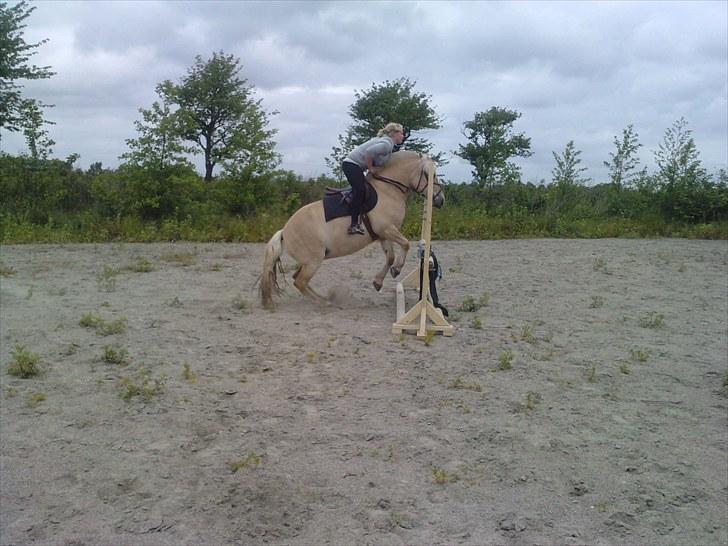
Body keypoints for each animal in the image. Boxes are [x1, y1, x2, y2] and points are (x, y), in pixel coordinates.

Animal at [262, 149, 444, 308]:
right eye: (428, 174)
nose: (440, 200)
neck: (388, 190)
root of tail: (284, 231)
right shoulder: (387, 229)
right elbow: (405, 244)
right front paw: (397, 270)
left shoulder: (383, 234)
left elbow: (390, 257)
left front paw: (378, 281)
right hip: (314, 260)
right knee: (300, 281)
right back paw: (324, 303)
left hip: (310, 260)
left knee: (298, 279)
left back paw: (324, 298)